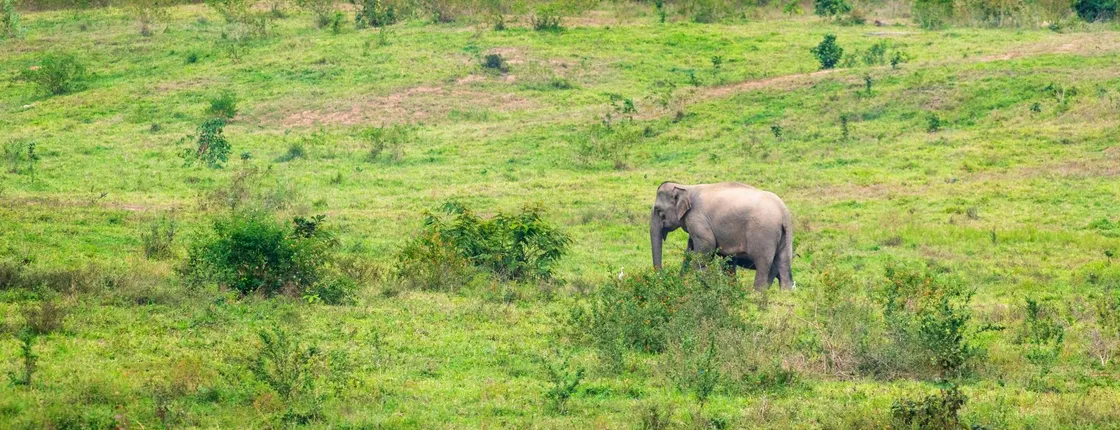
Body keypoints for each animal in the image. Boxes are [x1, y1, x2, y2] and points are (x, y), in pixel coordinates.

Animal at [649, 181, 794, 291]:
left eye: (658, 210)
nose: (662, 278)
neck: (686, 186)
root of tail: (783, 213)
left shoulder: (697, 218)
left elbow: (707, 246)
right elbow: (691, 249)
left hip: (763, 233)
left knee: (763, 263)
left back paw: (756, 294)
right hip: (785, 237)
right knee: (783, 262)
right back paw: (784, 294)